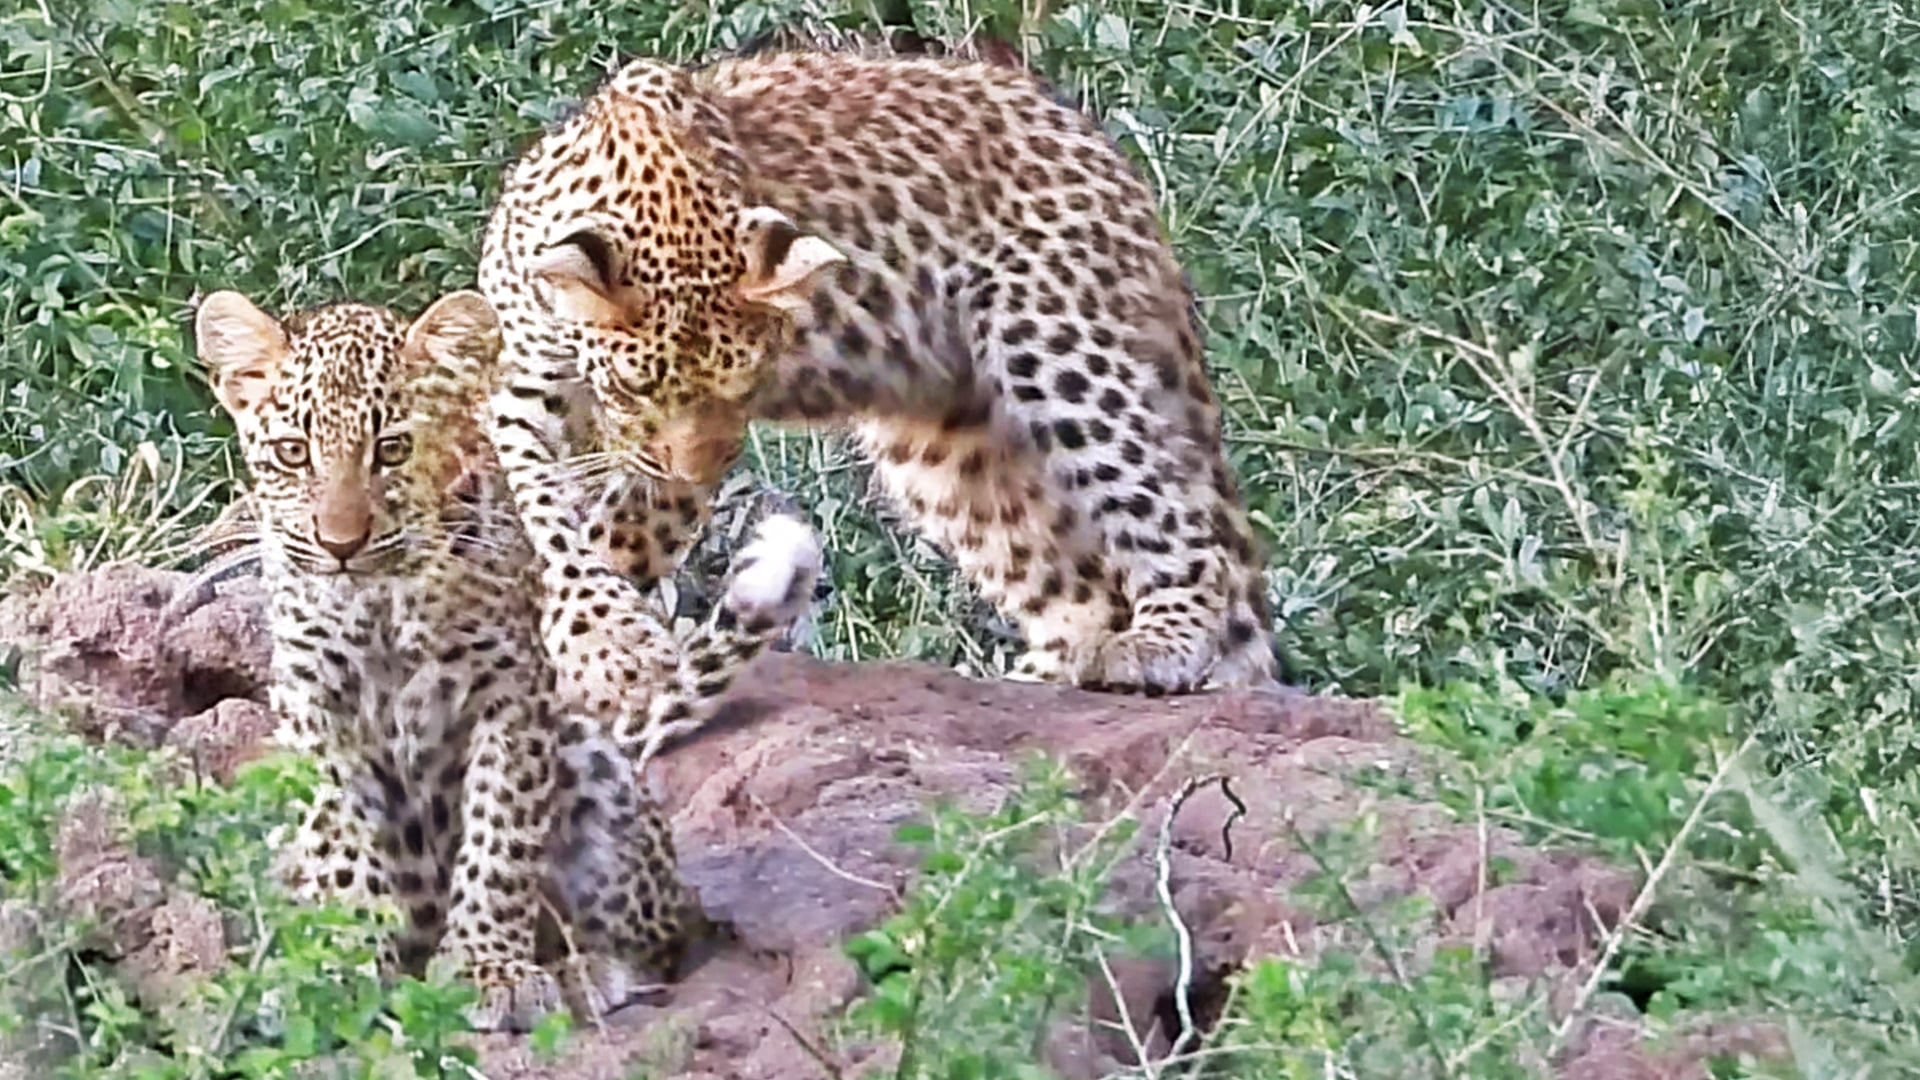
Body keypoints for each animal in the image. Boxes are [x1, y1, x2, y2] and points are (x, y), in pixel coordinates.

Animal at [189, 287, 822, 1031]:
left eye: (393, 449)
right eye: (293, 453)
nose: (339, 544)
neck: (379, 597)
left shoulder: (510, 698)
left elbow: (500, 838)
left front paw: (490, 969)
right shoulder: (316, 707)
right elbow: (346, 843)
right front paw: (343, 965)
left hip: (588, 760)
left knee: (665, 937)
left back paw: (586, 973)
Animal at [476, 44, 1278, 707]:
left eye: (743, 393)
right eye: (637, 388)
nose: (693, 468)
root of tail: (1108, 157)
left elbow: (614, 530)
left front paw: (603, 652)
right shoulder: (523, 392)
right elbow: (547, 518)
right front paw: (594, 637)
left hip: (1059, 349)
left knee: (1179, 522)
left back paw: (1159, 644)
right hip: (948, 453)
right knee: (1064, 574)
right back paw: (1049, 672)